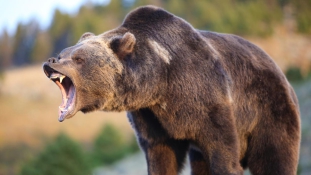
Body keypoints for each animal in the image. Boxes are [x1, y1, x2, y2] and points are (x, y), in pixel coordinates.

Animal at [43, 5, 300, 175]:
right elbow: (161, 157)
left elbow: (223, 152)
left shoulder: (209, 100)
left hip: (269, 111)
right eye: (63, 54)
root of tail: (280, 71)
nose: (50, 62)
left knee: (274, 157)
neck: (160, 83)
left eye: (79, 59)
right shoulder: (151, 119)